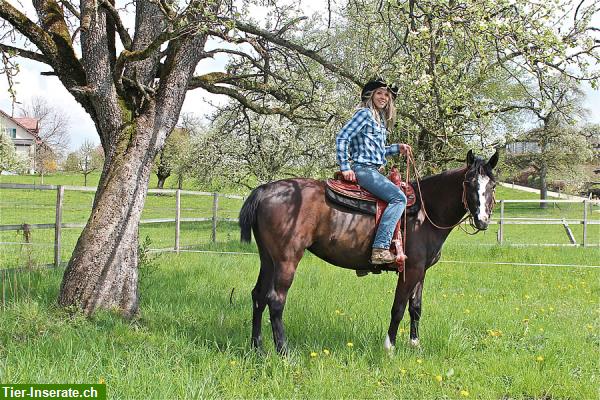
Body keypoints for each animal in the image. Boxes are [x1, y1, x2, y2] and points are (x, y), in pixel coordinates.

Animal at [239, 150, 496, 354]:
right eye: (468, 183)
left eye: (492, 185)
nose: (482, 221)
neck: (425, 213)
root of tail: (265, 190)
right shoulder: (410, 270)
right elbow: (398, 307)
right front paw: (389, 347)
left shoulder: (421, 271)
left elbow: (416, 308)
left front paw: (415, 344)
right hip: (287, 259)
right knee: (276, 300)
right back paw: (284, 352)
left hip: (268, 259)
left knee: (258, 296)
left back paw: (257, 348)